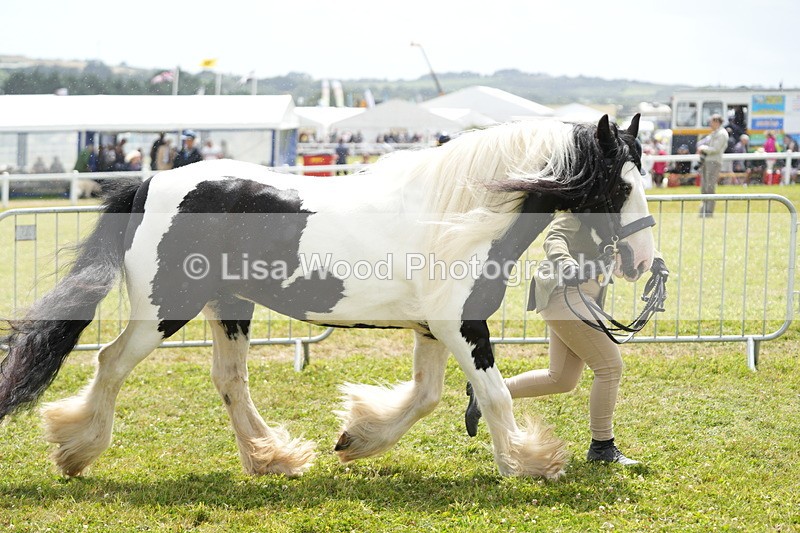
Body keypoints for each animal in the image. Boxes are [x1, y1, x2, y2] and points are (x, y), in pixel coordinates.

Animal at [0, 114, 654, 480]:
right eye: (619, 183)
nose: (642, 262)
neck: (457, 216)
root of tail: (149, 181)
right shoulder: (462, 326)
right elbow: (492, 396)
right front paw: (530, 464)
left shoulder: (433, 328)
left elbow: (426, 398)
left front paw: (356, 438)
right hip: (165, 311)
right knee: (111, 363)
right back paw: (76, 452)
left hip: (228, 307)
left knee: (229, 381)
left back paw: (273, 458)